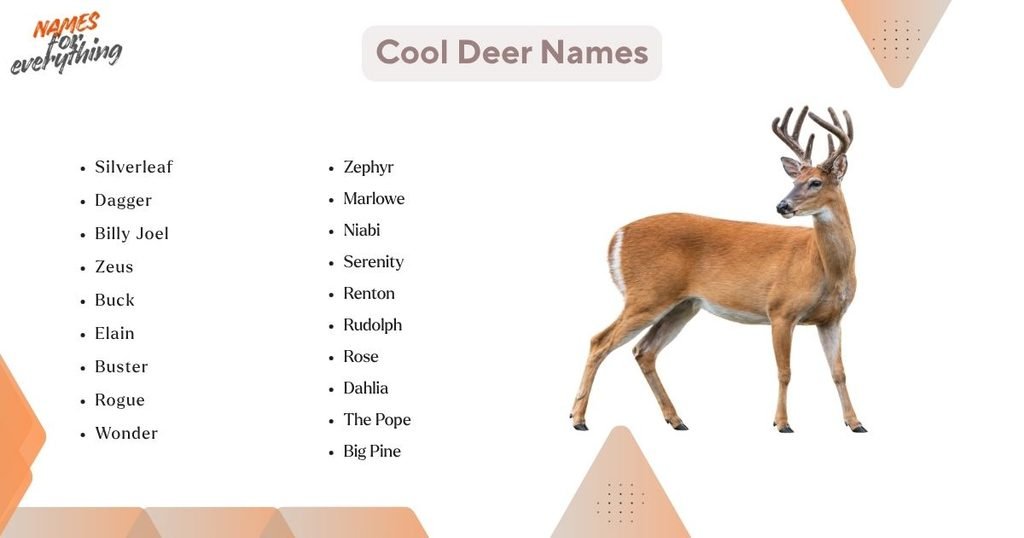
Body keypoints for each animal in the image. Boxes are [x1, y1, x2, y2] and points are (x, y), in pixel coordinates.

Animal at [570, 106, 867, 433]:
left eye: (815, 182)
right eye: (794, 181)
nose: (782, 206)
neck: (824, 266)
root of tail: (617, 236)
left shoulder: (831, 319)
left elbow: (839, 371)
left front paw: (855, 422)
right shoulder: (781, 310)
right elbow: (784, 371)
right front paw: (782, 423)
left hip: (683, 305)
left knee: (644, 351)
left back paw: (676, 420)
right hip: (646, 295)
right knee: (600, 341)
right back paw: (578, 418)